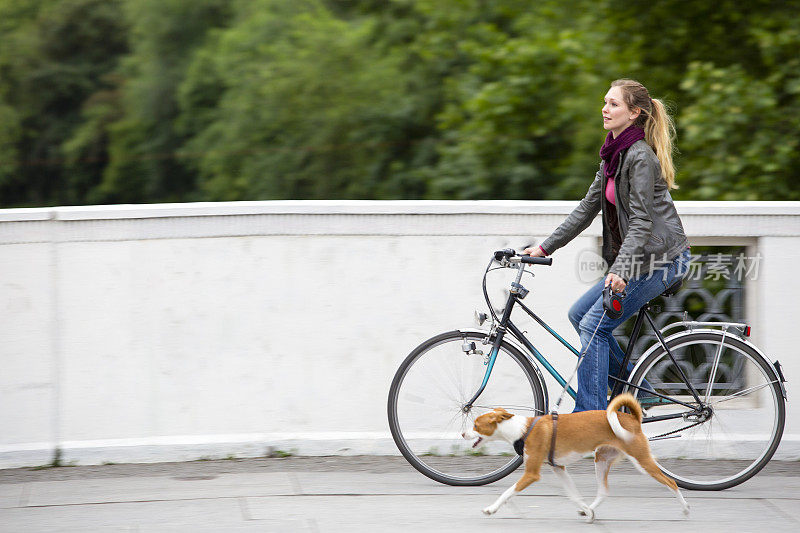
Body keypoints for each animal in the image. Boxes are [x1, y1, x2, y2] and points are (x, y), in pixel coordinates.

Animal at [466, 392, 692, 520]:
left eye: (475, 425)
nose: (462, 434)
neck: (523, 429)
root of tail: (632, 418)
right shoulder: (559, 468)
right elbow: (574, 495)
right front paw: (586, 509)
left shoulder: (531, 474)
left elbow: (507, 493)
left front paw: (491, 509)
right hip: (601, 460)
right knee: (603, 492)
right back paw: (589, 510)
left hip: (642, 461)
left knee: (671, 482)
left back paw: (686, 508)